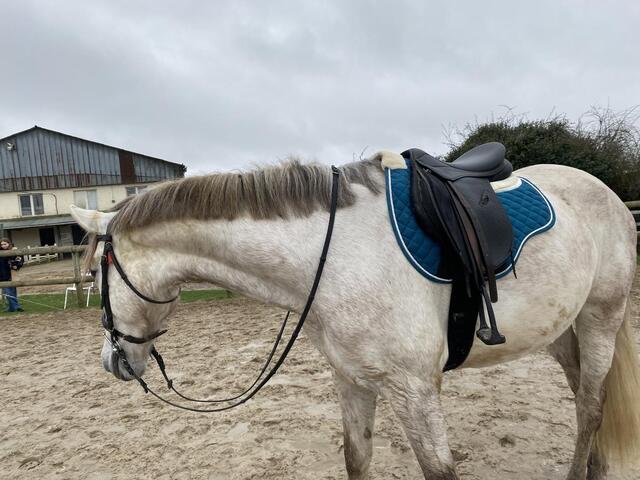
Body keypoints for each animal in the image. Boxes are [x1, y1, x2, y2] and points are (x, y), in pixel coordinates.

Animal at [70, 156, 640, 480]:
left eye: (97, 273)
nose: (112, 361)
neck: (337, 255)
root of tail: (608, 194)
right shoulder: (352, 379)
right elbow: (357, 460)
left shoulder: (415, 390)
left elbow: (439, 471)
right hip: (561, 333)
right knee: (585, 402)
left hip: (599, 320)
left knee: (589, 410)